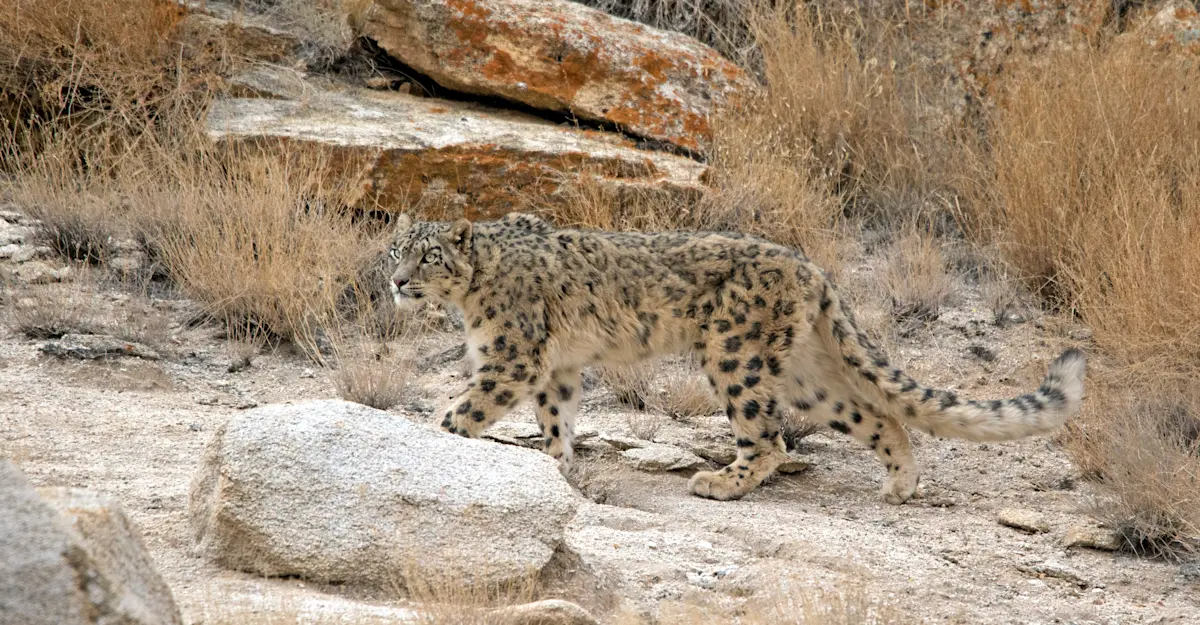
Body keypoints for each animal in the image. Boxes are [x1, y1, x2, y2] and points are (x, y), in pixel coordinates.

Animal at [387, 212, 1086, 504]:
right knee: (879, 415)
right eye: (396, 248)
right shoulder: (555, 369)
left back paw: (720, 482)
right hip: (806, 377)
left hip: (735, 355)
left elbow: (461, 414)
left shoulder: (510, 359)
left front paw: (435, 443)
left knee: (768, 439)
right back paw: (899, 486)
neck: (470, 297)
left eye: (429, 255)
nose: (395, 281)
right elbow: (556, 423)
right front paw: (557, 466)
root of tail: (811, 266)